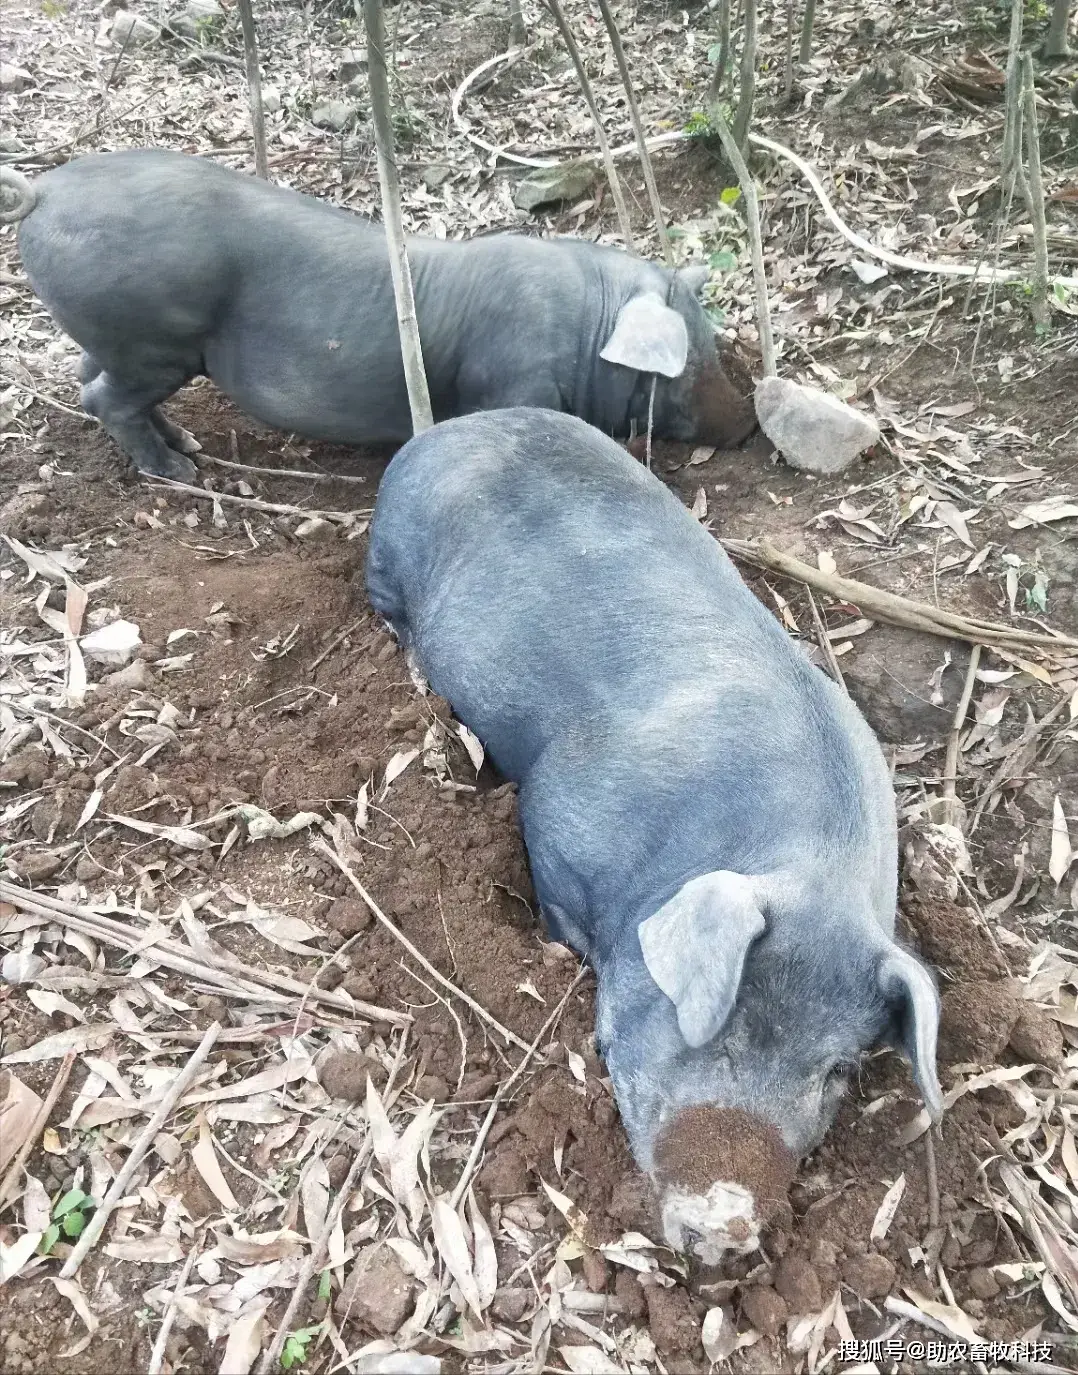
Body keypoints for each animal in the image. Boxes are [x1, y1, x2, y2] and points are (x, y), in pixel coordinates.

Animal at [0, 149, 759, 481]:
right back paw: (181, 473)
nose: (748, 424)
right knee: (103, 397)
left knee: (90, 379)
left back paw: (187, 445)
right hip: (150, 340)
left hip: (124, 340)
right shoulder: (513, 383)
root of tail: (42, 192)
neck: (587, 329)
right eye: (692, 358)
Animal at [371, 404, 946, 1259]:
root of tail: (454, 425)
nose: (728, 1224)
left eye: (838, 1070)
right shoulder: (557, 812)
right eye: (725, 1022)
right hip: (388, 556)